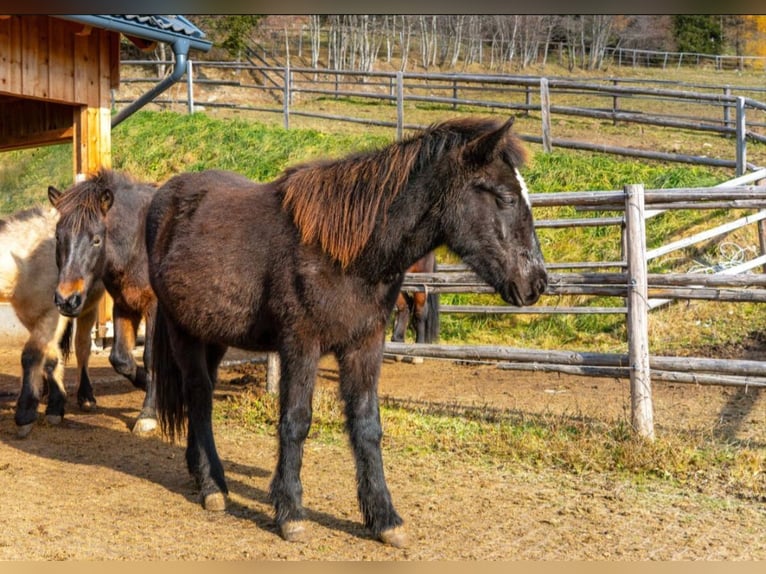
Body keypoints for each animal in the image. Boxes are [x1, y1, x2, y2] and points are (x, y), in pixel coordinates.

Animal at [0, 205, 104, 437]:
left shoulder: (52, 315)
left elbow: (31, 356)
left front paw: (26, 415)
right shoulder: (32, 317)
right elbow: (50, 358)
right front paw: (55, 405)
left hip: (89, 310)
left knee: (83, 348)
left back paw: (86, 397)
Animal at [48, 169, 159, 434]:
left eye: (97, 240)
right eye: (58, 237)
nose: (67, 300)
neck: (139, 244)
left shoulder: (154, 308)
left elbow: (150, 357)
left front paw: (148, 414)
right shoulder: (124, 304)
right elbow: (120, 359)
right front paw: (143, 383)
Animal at [145, 116, 548, 547]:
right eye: (505, 197)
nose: (537, 283)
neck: (345, 252)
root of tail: (163, 198)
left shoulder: (364, 345)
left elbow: (367, 425)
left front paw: (384, 518)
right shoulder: (300, 345)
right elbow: (295, 421)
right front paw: (290, 512)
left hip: (213, 335)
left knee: (199, 395)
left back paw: (203, 473)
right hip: (182, 330)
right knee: (199, 395)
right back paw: (212, 487)